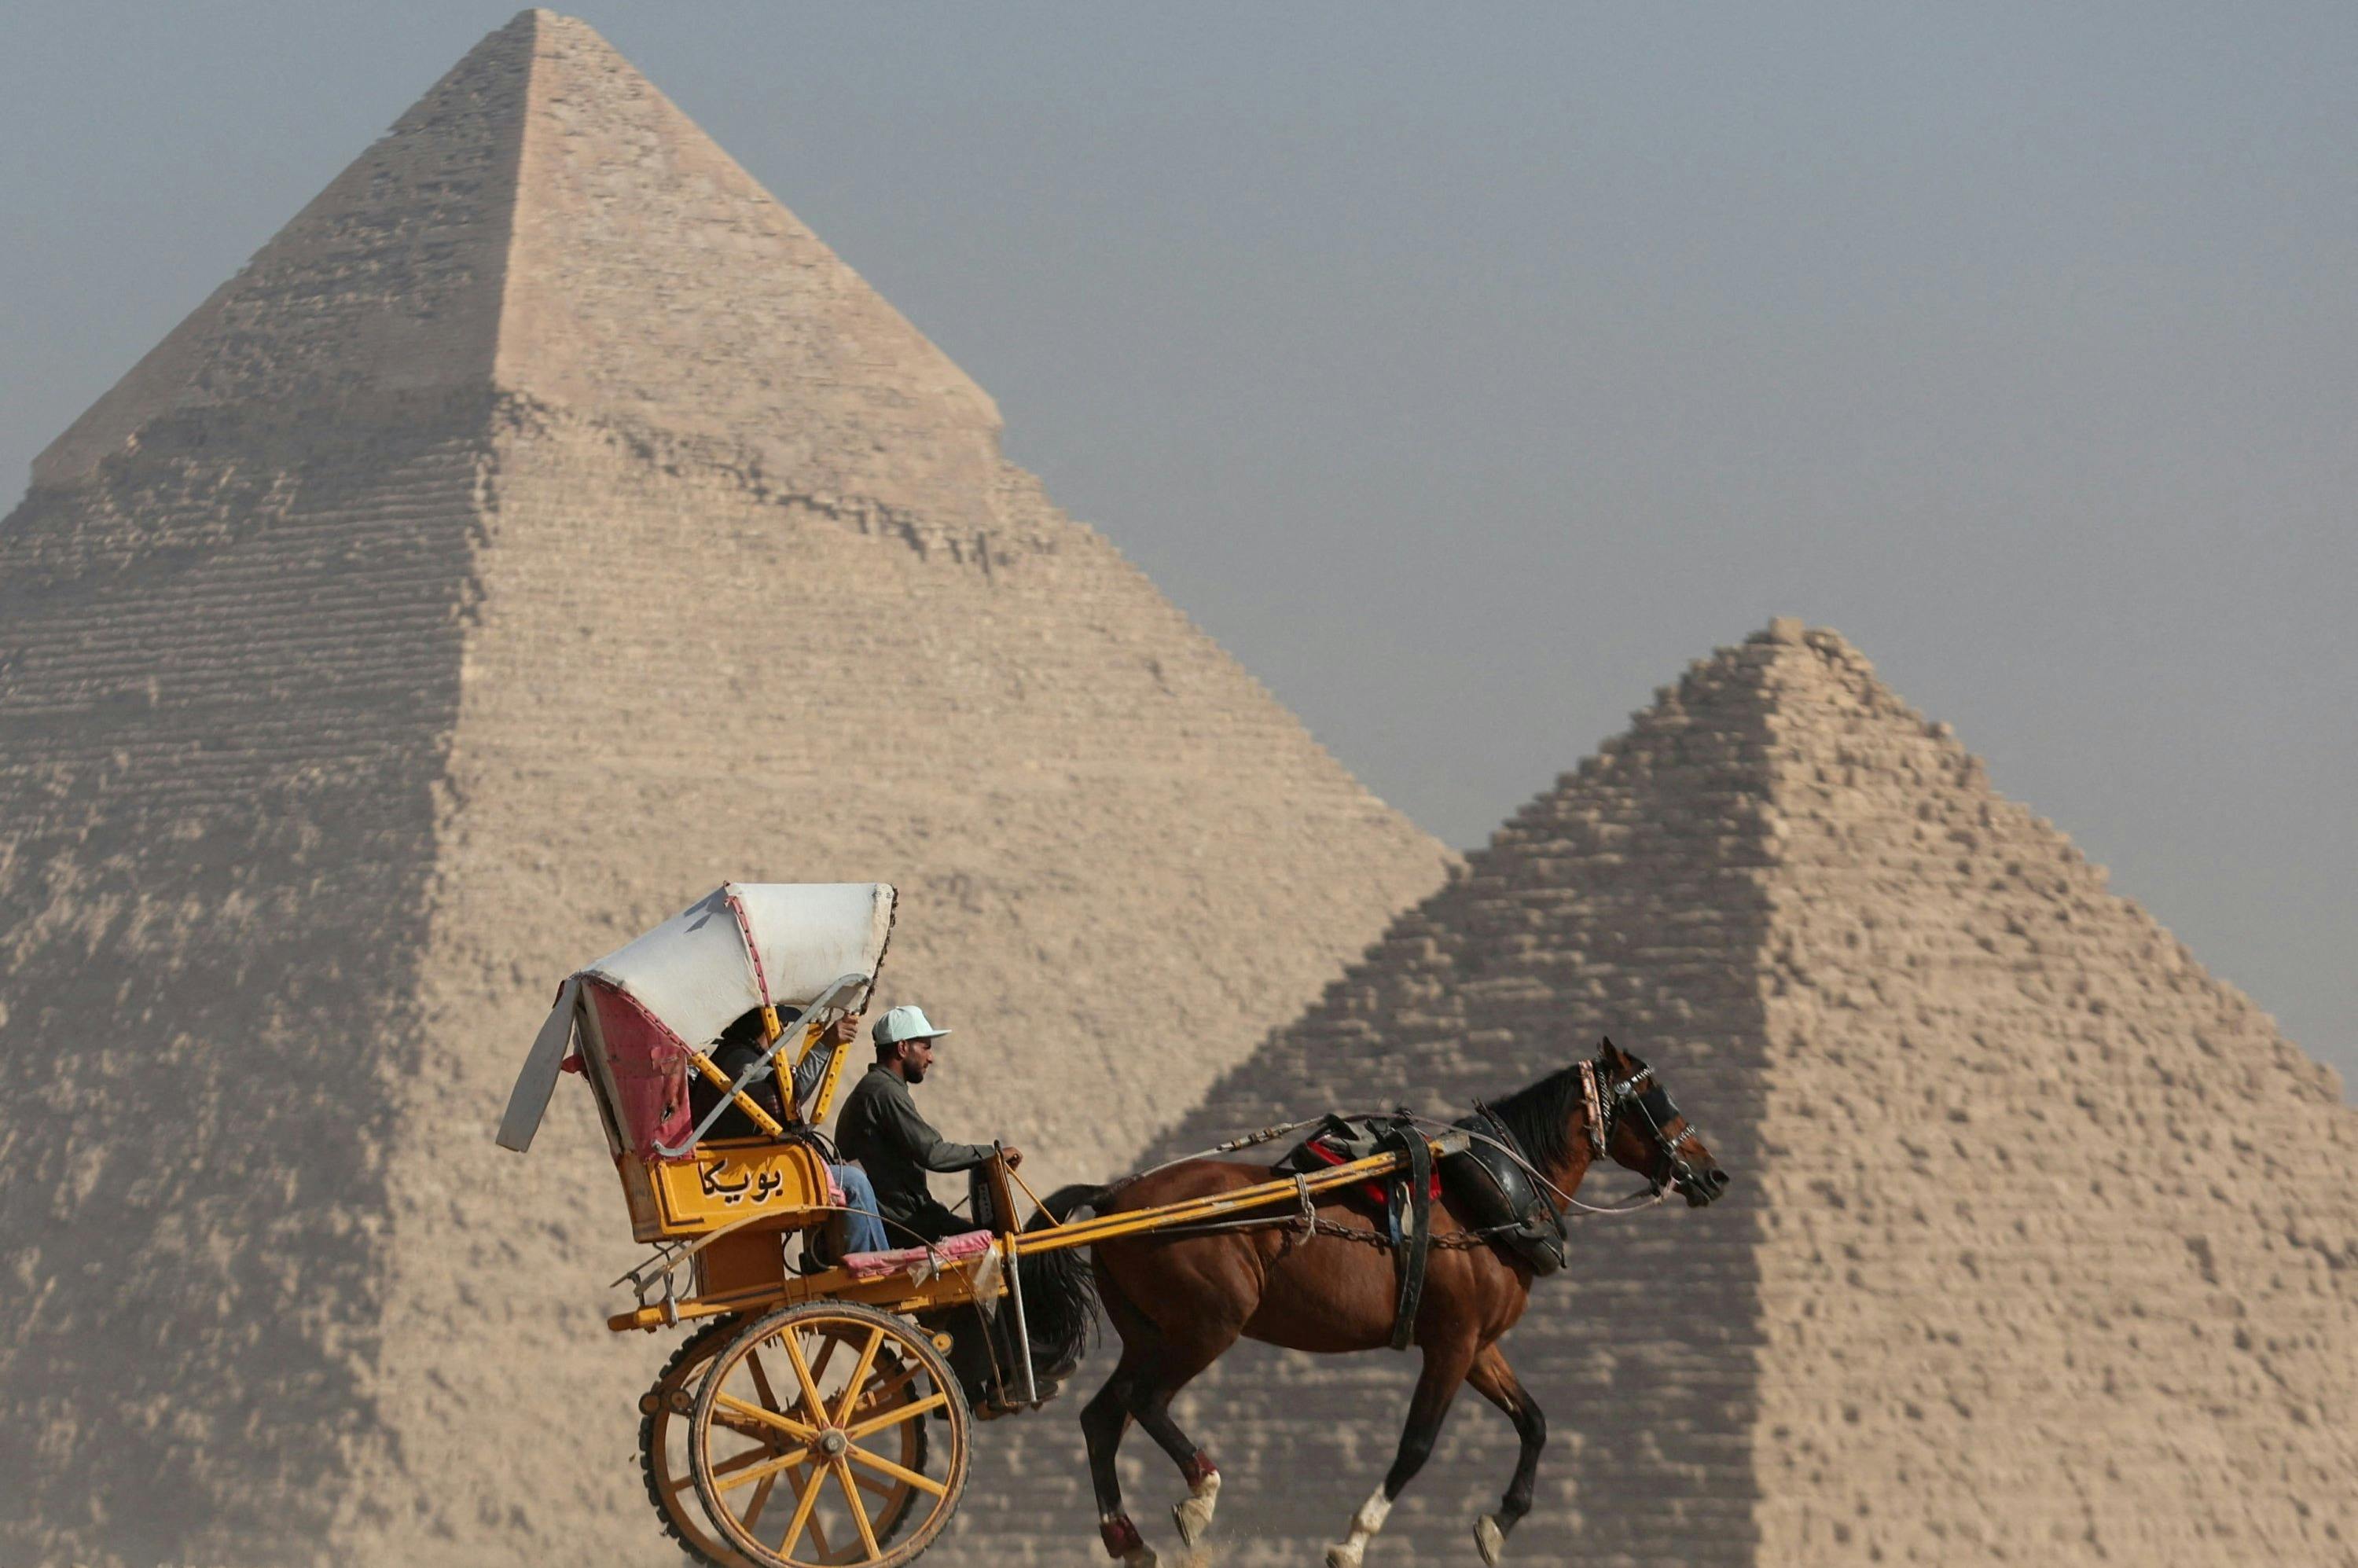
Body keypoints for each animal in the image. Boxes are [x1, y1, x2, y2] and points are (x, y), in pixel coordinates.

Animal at [1016, 1036, 1730, 1568]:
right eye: (1651, 1098)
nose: (1714, 1173)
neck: (1491, 1192)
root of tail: (1115, 1195)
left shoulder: (1479, 1345)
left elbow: (1534, 1422)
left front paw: (1498, 1522)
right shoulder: (1451, 1343)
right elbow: (1416, 1444)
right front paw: (1354, 1538)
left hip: (1150, 1332)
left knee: (1103, 1416)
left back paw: (1128, 1539)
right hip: (1207, 1324)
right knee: (1146, 1402)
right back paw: (1200, 1494)